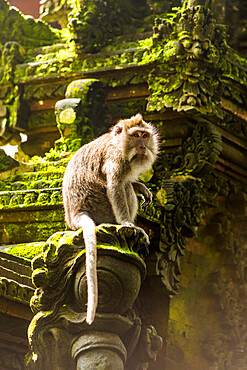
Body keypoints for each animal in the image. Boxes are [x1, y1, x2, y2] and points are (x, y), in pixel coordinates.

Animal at [61, 112, 158, 324]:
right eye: (136, 135)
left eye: (144, 135)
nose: (142, 147)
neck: (119, 143)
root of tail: (76, 214)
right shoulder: (115, 159)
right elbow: (115, 186)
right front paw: (127, 223)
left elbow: (127, 182)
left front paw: (141, 188)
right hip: (101, 207)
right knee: (122, 188)